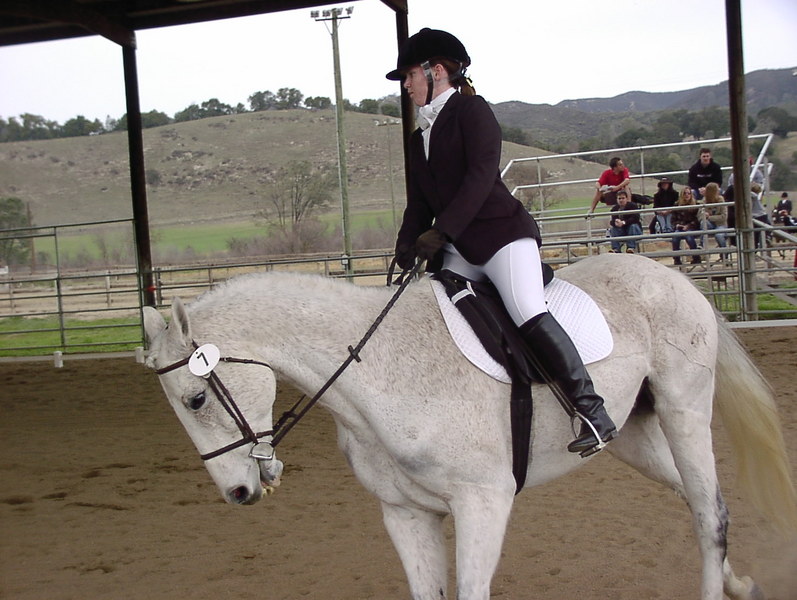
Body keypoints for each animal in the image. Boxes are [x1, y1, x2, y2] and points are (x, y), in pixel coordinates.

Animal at [142, 253, 796, 600]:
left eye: (196, 399)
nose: (239, 492)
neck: (379, 372)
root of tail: (673, 278)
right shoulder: (407, 514)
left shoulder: (484, 501)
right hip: (634, 435)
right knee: (699, 500)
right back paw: (741, 585)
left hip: (686, 410)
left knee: (709, 513)